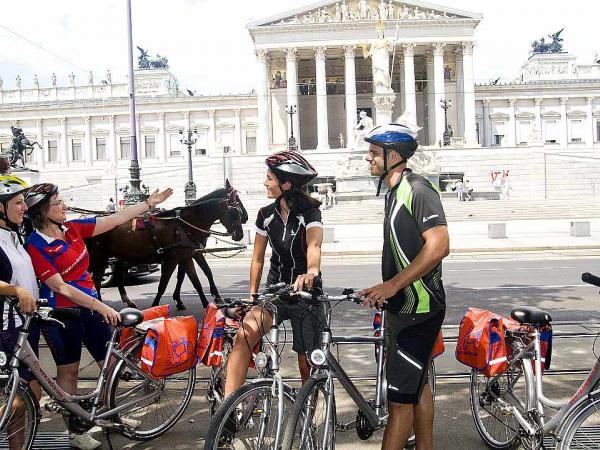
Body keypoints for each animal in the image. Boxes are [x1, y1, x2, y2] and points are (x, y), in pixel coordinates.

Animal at [86, 186, 244, 310]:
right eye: (234, 212)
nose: (240, 234)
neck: (183, 225)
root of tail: (95, 219)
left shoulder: (187, 257)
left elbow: (196, 281)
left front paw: (206, 304)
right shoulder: (173, 259)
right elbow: (163, 284)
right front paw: (155, 305)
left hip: (117, 256)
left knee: (113, 277)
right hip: (100, 257)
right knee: (96, 279)